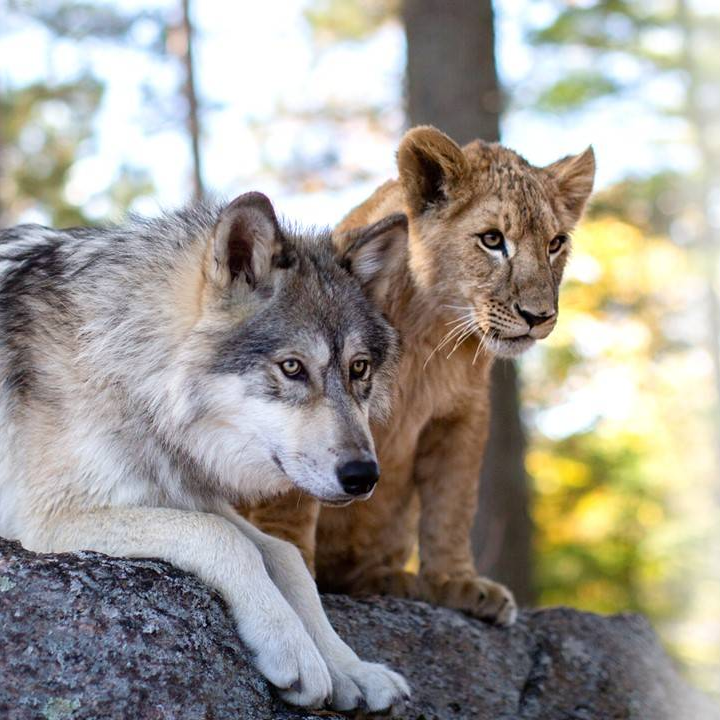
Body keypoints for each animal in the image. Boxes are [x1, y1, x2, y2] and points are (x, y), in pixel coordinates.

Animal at [0, 192, 410, 712]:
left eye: (359, 369)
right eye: (292, 367)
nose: (363, 475)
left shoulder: (181, 492)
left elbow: (286, 557)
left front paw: (352, 668)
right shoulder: (45, 521)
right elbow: (224, 539)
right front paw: (292, 647)